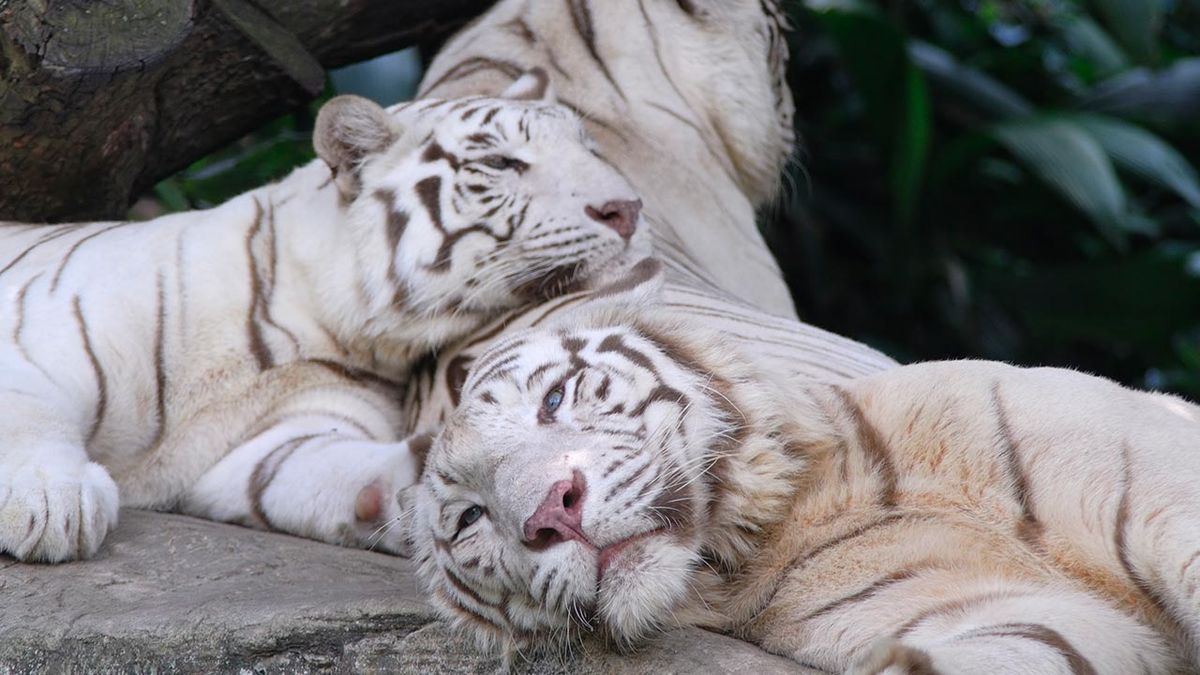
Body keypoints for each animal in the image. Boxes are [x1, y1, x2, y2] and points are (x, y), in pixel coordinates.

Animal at [0, 71, 650, 564]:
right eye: (501, 162)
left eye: (591, 149)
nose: (628, 208)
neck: (324, 320)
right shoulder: (41, 339)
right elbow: (27, 415)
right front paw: (50, 506)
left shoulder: (276, 438)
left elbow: (314, 468)